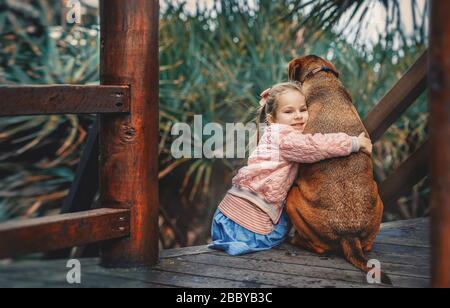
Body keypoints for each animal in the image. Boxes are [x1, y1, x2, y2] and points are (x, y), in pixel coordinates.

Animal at [288, 55, 390, 284]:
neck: (322, 78)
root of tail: (349, 235)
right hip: (379, 199)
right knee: (367, 244)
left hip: (292, 199)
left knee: (318, 247)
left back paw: (297, 241)